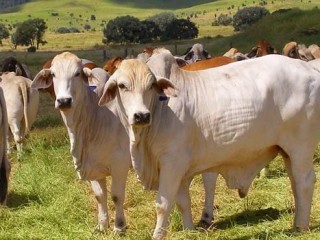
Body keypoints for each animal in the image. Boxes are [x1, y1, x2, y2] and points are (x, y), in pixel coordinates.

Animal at [30, 51, 131, 232]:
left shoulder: (120, 163)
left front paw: (119, 227)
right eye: (53, 74)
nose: (64, 101)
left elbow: (117, 196)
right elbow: (99, 196)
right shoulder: (92, 166)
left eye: (77, 73)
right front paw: (102, 225)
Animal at [99, 49, 320, 240]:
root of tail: (309, 69)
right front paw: (189, 230)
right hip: (287, 152)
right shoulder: (180, 168)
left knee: (305, 181)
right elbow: (183, 202)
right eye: (122, 86)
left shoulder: (172, 162)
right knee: (295, 182)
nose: (141, 116)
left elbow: (164, 203)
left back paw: (300, 226)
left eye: (151, 85)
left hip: (301, 147)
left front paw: (157, 235)